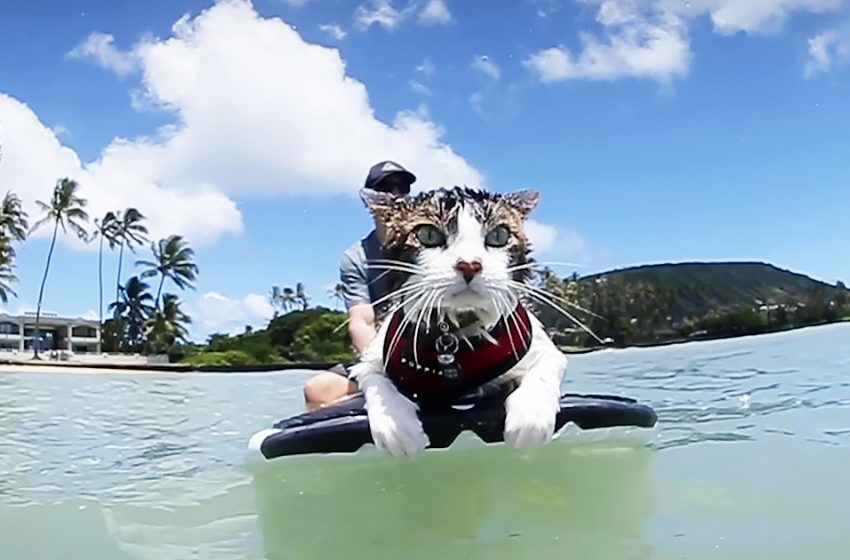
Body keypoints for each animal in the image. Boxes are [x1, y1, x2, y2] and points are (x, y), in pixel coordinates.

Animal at [348, 186, 568, 458]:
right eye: (428, 234)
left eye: (499, 235)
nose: (470, 264)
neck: (455, 330)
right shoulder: (372, 355)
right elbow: (373, 378)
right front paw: (397, 428)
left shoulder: (541, 346)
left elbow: (545, 367)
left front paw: (530, 420)